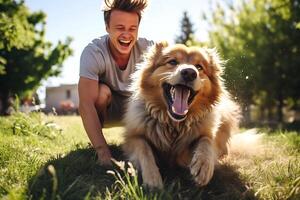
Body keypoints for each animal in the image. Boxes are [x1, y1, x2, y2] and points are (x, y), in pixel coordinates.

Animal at [121, 42, 239, 189]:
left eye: (199, 67)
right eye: (172, 62)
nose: (189, 73)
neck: (173, 124)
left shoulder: (206, 133)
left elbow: (206, 141)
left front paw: (203, 166)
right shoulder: (133, 137)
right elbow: (144, 149)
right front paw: (152, 177)